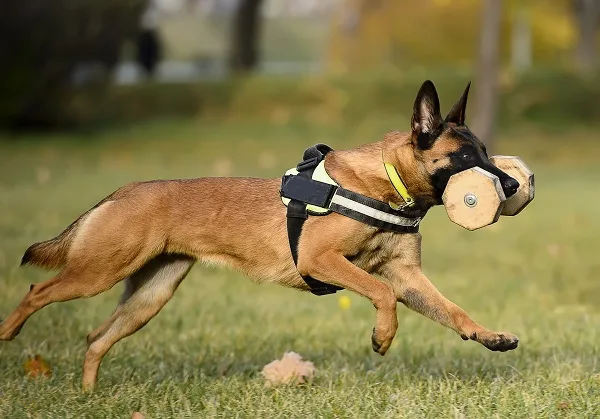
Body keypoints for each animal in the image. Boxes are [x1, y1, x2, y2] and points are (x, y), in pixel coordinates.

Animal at [0, 79, 520, 390]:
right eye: (466, 157)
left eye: (486, 152)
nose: (514, 186)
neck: (385, 184)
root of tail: (122, 191)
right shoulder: (322, 261)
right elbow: (381, 295)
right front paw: (382, 337)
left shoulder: (408, 276)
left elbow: (452, 310)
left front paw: (488, 336)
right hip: (96, 273)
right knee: (36, 291)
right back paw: (7, 333)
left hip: (149, 297)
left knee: (95, 338)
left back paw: (88, 395)